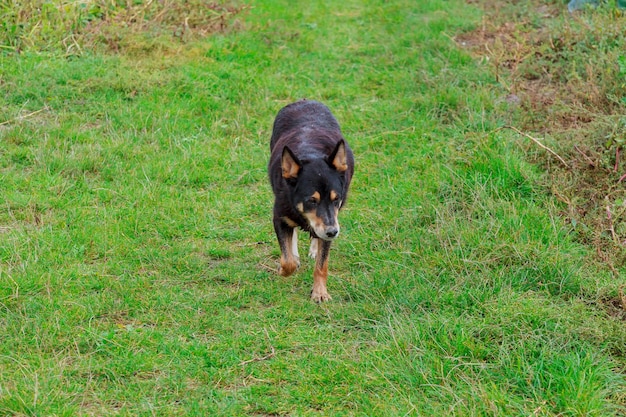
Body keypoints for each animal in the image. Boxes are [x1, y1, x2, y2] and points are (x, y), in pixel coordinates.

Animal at [266, 101, 354, 302]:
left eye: (336, 199)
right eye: (311, 200)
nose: (333, 232)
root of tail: (304, 101)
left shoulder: (331, 221)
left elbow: (322, 265)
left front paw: (320, 292)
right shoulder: (279, 218)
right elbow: (287, 259)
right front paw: (284, 269)